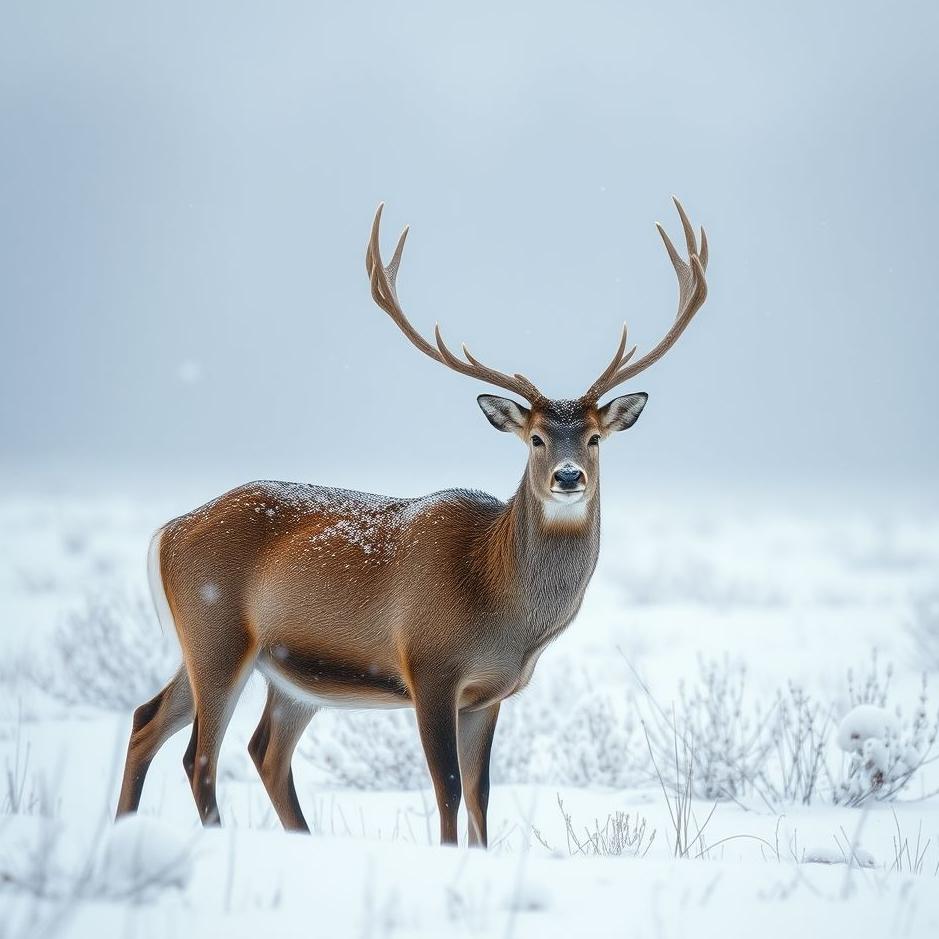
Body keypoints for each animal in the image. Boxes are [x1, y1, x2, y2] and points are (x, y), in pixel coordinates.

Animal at [116, 197, 708, 847]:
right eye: (535, 437)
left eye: (596, 437)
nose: (569, 476)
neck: (497, 600)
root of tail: (169, 530)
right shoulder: (429, 665)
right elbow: (447, 790)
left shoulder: (488, 695)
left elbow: (479, 795)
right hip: (217, 631)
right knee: (201, 754)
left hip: (270, 668)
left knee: (196, 732)